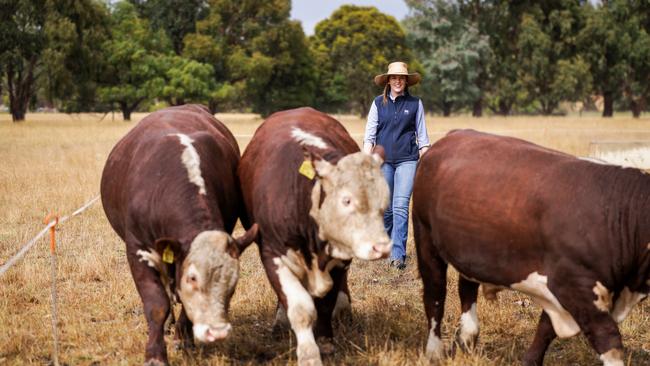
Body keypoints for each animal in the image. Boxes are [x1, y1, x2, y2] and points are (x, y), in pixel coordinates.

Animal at [238, 107, 390, 364]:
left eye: (383, 200)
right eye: (346, 200)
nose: (381, 247)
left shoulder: (339, 259)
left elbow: (326, 304)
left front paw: (326, 342)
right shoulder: (273, 253)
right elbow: (299, 308)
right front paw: (309, 353)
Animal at [412, 129, 644, 366]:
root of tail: (455, 134)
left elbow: (545, 329)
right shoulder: (576, 286)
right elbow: (607, 339)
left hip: (467, 249)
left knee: (466, 288)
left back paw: (467, 339)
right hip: (425, 236)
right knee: (435, 294)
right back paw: (434, 351)